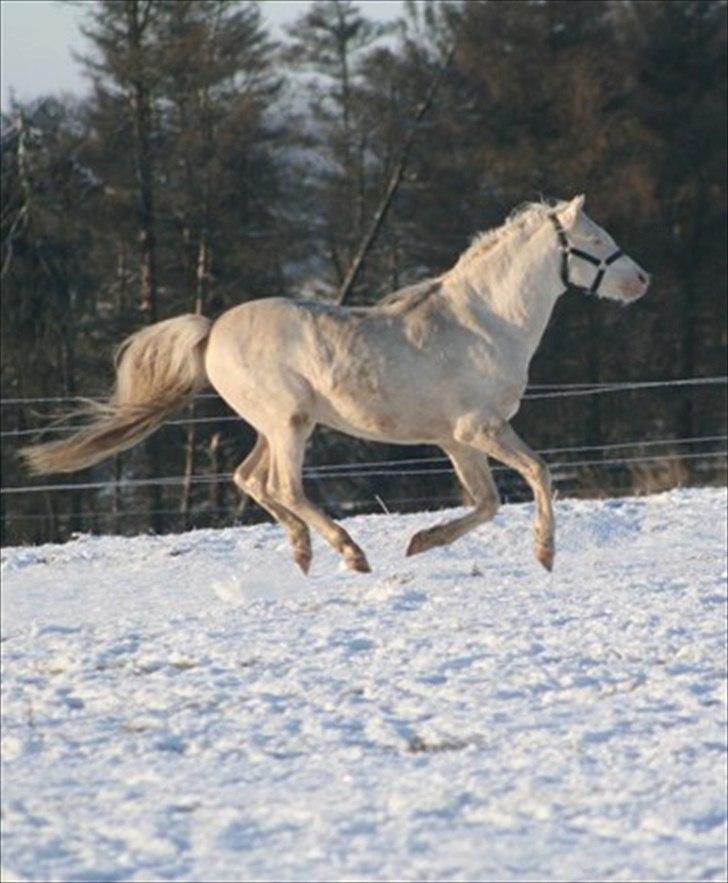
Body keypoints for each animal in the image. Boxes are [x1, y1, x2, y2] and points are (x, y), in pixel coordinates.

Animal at [21, 195, 648, 572]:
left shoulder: (456, 439)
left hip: (272, 427)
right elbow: (538, 474)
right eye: (594, 240)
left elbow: (487, 502)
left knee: (249, 479)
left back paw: (302, 551)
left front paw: (421, 543)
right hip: (289, 424)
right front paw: (545, 552)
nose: (641, 280)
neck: (484, 321)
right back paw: (350, 553)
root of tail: (212, 329)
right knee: (284, 487)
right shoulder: (481, 428)